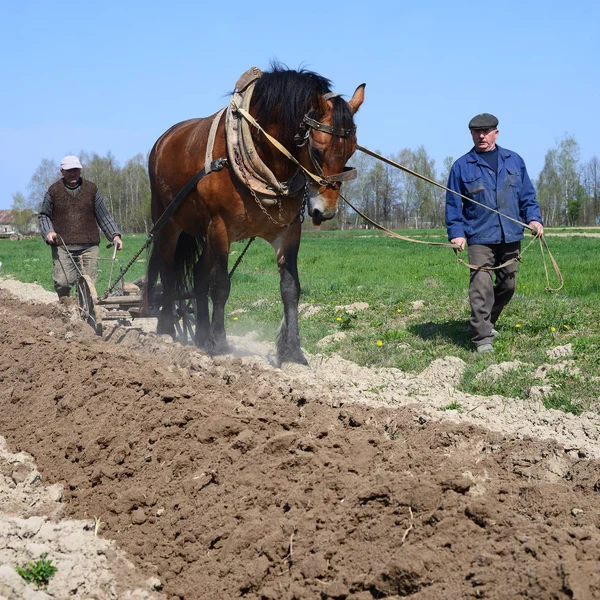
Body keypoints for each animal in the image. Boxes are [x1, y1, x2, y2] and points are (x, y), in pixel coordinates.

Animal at [144, 65, 366, 366]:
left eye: (351, 150)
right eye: (318, 150)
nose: (326, 211)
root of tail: (164, 139)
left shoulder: (288, 232)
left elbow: (290, 289)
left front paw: (293, 353)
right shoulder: (220, 227)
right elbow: (221, 285)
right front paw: (220, 343)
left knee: (199, 274)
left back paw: (200, 336)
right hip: (170, 223)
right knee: (167, 270)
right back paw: (167, 330)